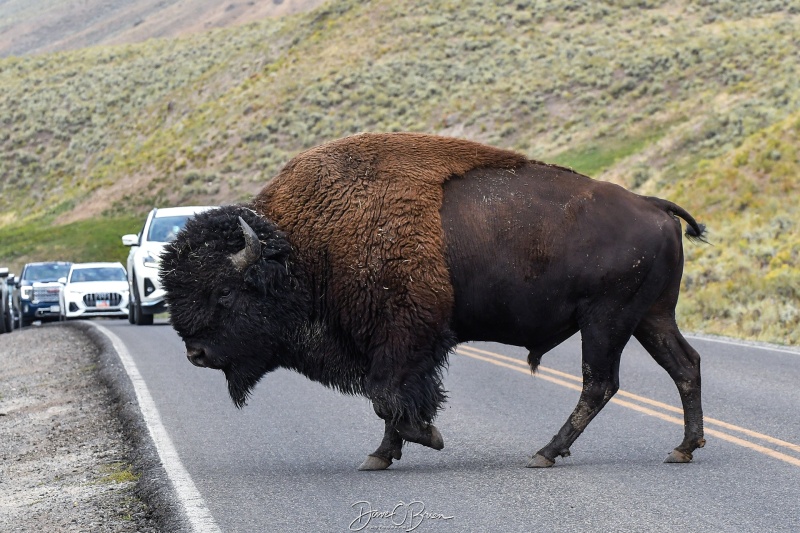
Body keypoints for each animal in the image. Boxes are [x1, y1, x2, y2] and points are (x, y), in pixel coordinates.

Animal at [161, 133, 708, 470]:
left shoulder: (403, 338)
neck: (302, 249)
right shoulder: (386, 346)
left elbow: (387, 398)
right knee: (684, 365)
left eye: (224, 290)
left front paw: (427, 437)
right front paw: (381, 456)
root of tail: (653, 206)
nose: (196, 354)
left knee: (600, 383)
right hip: (650, 317)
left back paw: (545, 452)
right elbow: (386, 401)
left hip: (606, 321)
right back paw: (684, 448)